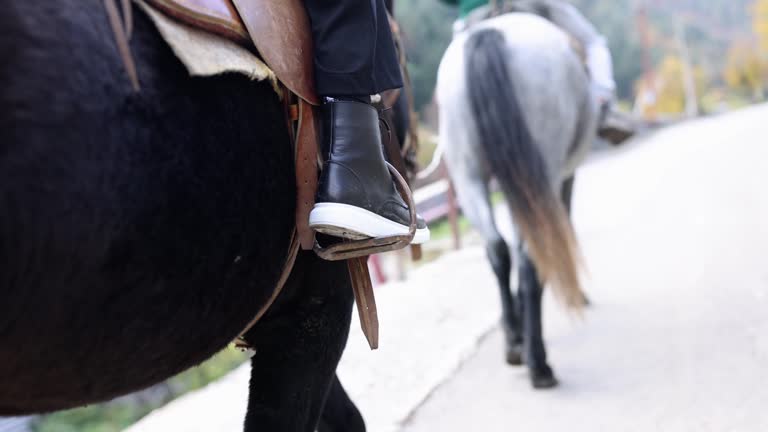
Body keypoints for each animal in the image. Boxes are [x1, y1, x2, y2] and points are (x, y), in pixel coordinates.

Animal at [436, 13, 596, 388]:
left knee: (498, 248)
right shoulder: (562, 181)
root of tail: (489, 32)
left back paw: (513, 341)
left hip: (468, 177)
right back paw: (539, 363)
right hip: (541, 173)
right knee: (531, 256)